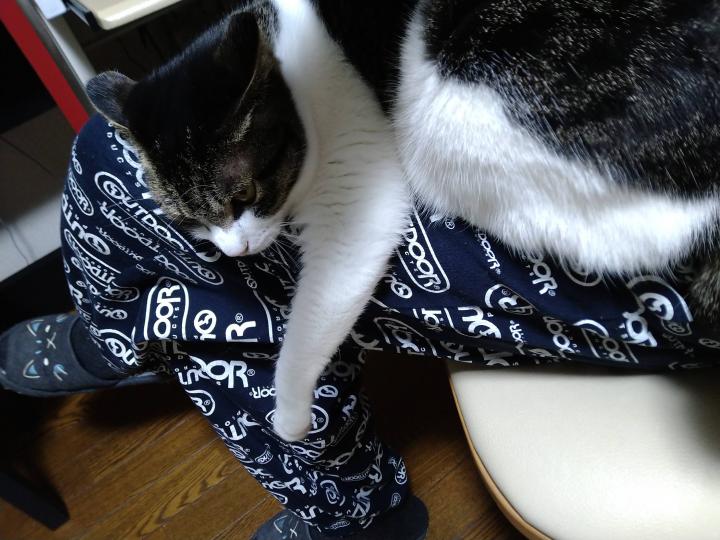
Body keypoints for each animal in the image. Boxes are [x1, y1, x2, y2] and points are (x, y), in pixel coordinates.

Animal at [87, 0, 720, 441]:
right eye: (189, 219)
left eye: (244, 193)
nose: (236, 252)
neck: (292, 70)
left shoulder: (356, 192)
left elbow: (316, 315)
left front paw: (287, 415)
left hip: (441, 126)